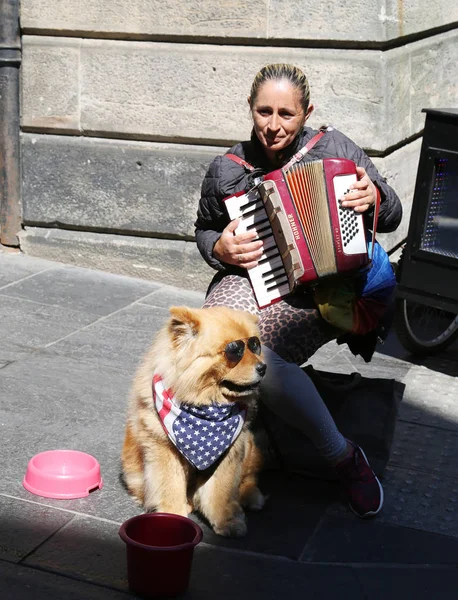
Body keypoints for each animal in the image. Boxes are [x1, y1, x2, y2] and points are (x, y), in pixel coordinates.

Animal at [121, 308, 266, 536]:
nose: (263, 367)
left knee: (249, 477)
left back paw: (249, 497)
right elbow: (170, 486)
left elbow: (220, 489)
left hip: (251, 446)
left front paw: (227, 521)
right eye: (234, 351)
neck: (205, 405)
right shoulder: (163, 448)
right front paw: (172, 517)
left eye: (255, 346)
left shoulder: (230, 450)